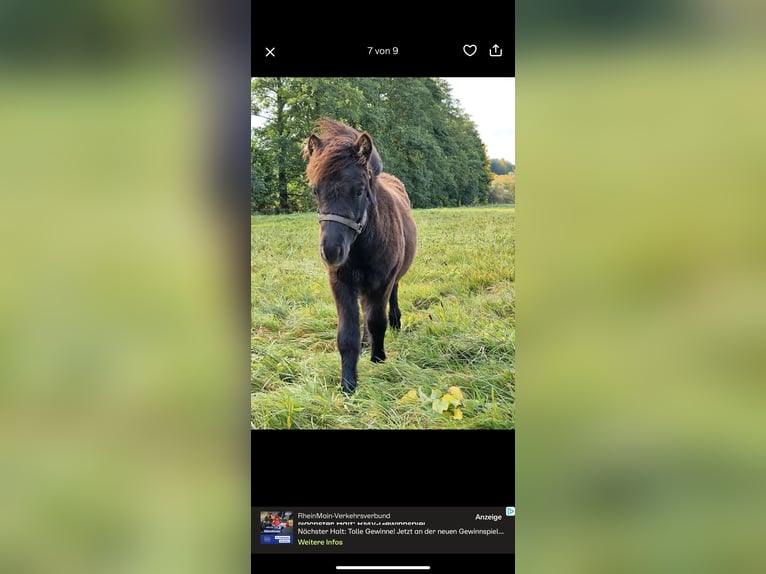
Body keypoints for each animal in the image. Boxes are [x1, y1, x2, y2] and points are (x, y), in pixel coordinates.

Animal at [304, 119, 417, 393]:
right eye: (315, 191)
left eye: (359, 191)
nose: (331, 252)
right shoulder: (340, 284)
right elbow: (348, 335)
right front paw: (348, 385)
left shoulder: (382, 282)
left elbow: (377, 322)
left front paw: (379, 360)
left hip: (390, 280)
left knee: (389, 301)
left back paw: (395, 323)